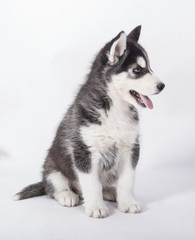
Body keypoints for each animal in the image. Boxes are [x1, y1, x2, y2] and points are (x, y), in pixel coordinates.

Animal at [13, 25, 165, 218]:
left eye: (150, 67)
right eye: (137, 70)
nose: (162, 86)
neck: (114, 108)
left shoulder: (130, 148)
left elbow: (127, 180)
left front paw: (127, 202)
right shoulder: (85, 151)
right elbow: (92, 184)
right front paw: (96, 207)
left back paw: (110, 191)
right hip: (52, 167)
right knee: (53, 187)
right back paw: (67, 195)